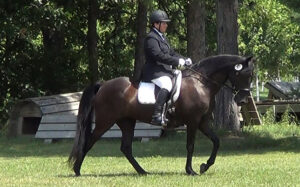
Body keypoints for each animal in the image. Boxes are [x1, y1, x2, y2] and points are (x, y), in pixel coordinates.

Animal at [68, 54, 255, 176]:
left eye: (251, 76)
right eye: (240, 74)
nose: (243, 100)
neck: (201, 84)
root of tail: (103, 84)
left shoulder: (202, 122)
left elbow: (216, 141)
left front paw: (205, 166)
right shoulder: (193, 121)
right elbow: (190, 146)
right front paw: (191, 170)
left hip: (127, 122)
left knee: (126, 148)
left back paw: (143, 172)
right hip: (105, 121)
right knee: (89, 142)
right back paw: (77, 170)